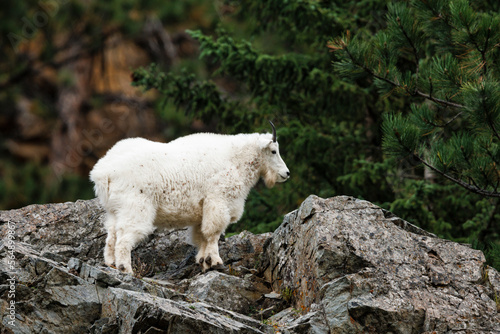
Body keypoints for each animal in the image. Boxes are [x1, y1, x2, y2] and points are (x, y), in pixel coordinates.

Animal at [90, 122, 290, 274]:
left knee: (111, 235)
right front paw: (215, 261)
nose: (286, 173)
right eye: (274, 151)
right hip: (135, 207)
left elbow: (201, 236)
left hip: (114, 210)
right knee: (124, 238)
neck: (236, 161)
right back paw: (126, 269)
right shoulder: (217, 201)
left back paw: (111, 264)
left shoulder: (202, 211)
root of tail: (103, 172)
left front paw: (203, 261)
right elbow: (213, 234)